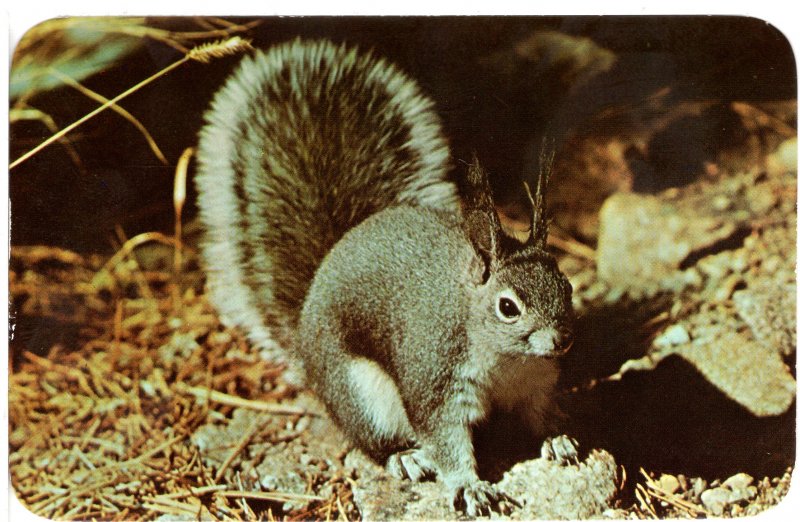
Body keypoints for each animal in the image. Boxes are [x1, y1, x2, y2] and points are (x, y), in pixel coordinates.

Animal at [198, 38, 580, 512]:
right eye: (507, 307)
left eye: (567, 285)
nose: (562, 340)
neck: (508, 360)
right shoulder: (434, 379)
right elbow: (444, 441)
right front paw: (470, 485)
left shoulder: (536, 384)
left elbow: (540, 414)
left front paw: (558, 438)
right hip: (362, 394)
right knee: (373, 440)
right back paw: (404, 458)